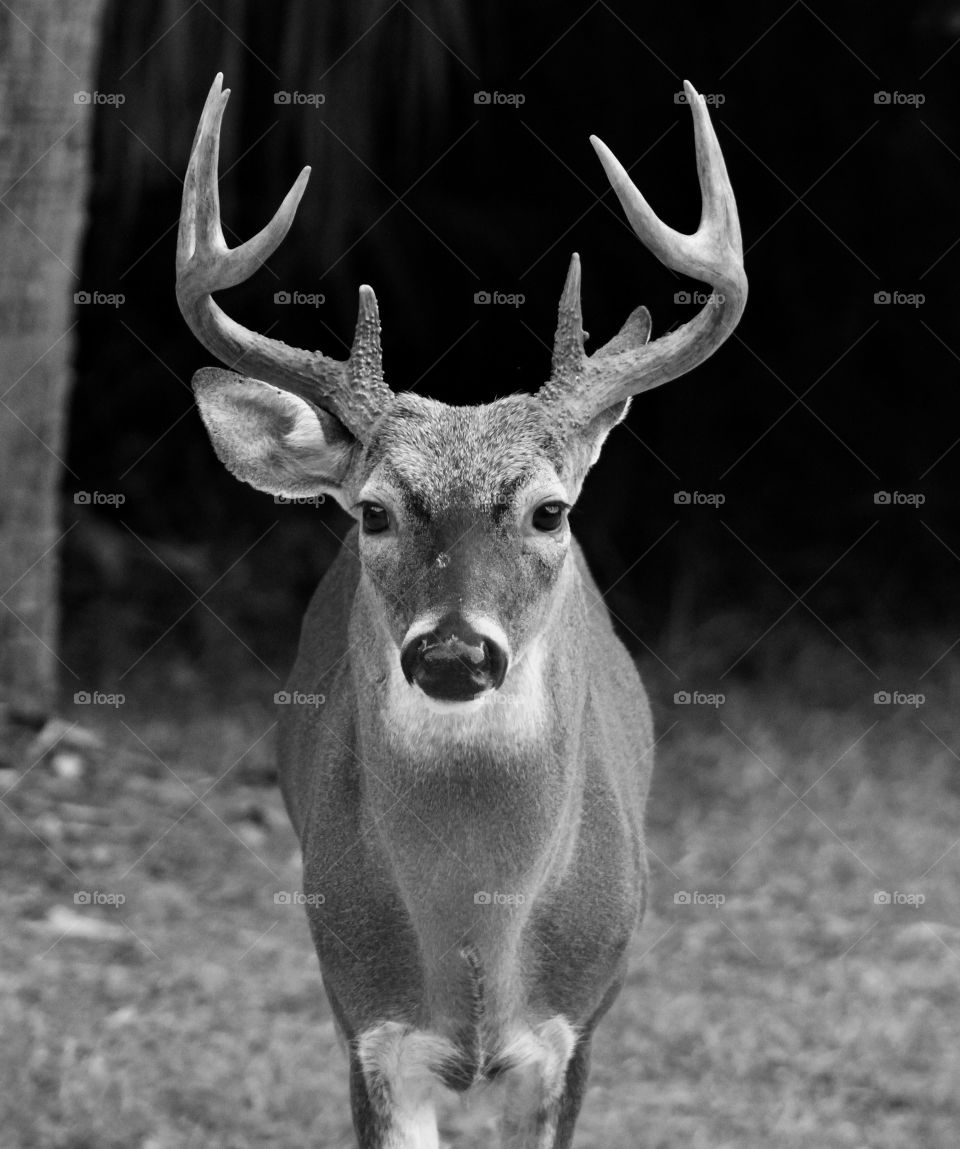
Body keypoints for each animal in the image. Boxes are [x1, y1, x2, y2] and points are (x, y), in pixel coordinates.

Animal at [176, 72, 746, 1149]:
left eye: (549, 510)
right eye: (373, 511)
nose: (451, 653)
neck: (479, 943)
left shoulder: (573, 1035)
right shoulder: (369, 1030)